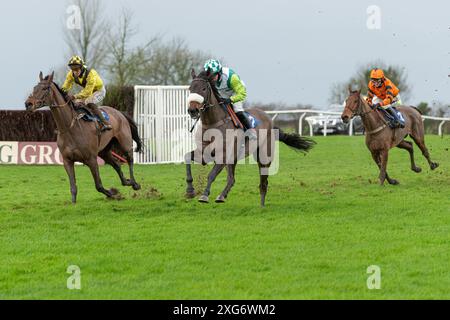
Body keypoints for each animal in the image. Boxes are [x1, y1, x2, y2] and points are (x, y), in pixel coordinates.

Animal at [25, 72, 142, 202]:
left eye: (45, 88)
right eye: (34, 88)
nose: (28, 104)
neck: (69, 127)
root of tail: (120, 113)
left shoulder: (91, 159)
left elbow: (99, 185)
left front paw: (113, 193)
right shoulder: (67, 161)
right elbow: (73, 188)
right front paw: (73, 203)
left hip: (124, 143)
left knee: (129, 159)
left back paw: (134, 183)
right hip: (104, 151)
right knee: (116, 164)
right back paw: (126, 182)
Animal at [185, 69, 314, 208]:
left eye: (203, 88)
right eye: (190, 88)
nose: (192, 110)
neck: (213, 123)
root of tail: (270, 120)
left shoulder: (223, 156)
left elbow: (211, 175)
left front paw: (204, 195)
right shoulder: (205, 153)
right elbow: (187, 157)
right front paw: (190, 191)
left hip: (263, 157)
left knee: (263, 182)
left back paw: (261, 206)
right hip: (234, 159)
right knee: (232, 179)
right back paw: (222, 196)